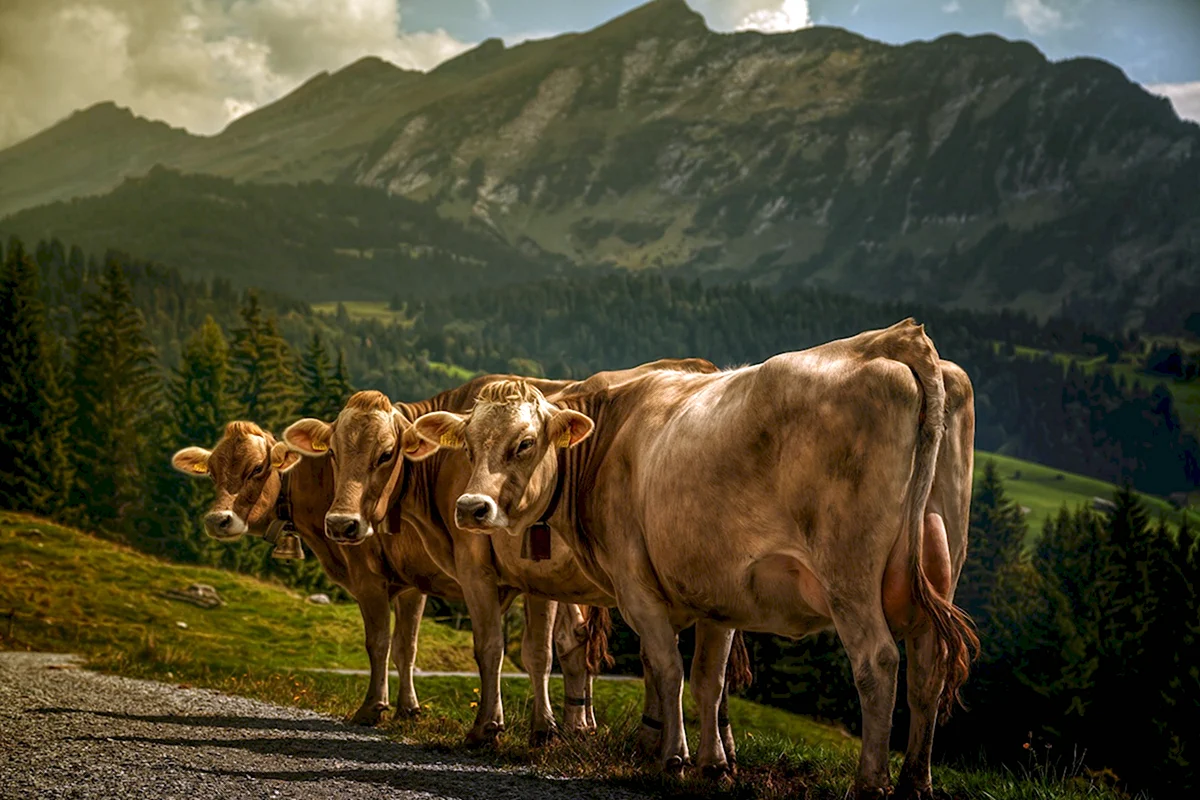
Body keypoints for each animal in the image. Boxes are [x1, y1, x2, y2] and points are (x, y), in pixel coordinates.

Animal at [170, 419, 596, 740]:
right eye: (212, 472)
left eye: (257, 469)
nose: (218, 519)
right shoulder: (412, 583)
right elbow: (406, 646)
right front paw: (409, 709)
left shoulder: (367, 576)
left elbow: (378, 642)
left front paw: (373, 707)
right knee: (575, 639)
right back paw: (579, 726)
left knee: (547, 645)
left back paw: (550, 726)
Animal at [282, 360, 752, 752]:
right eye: (332, 453)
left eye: (386, 453)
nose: (342, 524)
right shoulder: (523, 579)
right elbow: (529, 653)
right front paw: (544, 729)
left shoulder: (460, 569)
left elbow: (479, 646)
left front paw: (482, 726)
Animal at [407, 319, 978, 799]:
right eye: (468, 445)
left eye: (525, 443)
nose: (471, 507)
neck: (610, 438)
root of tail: (894, 338)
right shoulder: (719, 593)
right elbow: (708, 681)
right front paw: (713, 764)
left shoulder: (637, 587)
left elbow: (666, 668)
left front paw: (674, 759)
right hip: (940, 567)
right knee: (928, 667)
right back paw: (916, 781)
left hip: (849, 576)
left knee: (878, 662)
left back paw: (870, 783)